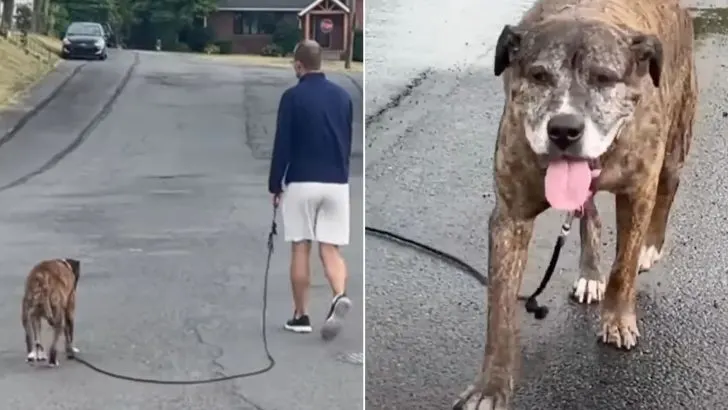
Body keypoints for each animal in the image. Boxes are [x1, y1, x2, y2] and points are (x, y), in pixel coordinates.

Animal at [452, 0, 696, 406]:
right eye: (539, 76)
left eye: (603, 78)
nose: (564, 129)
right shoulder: (510, 218)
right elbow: (499, 310)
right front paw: (491, 386)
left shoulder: (637, 193)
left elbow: (623, 268)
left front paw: (618, 319)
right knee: (589, 214)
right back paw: (590, 273)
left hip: (677, 141)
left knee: (667, 191)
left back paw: (649, 247)